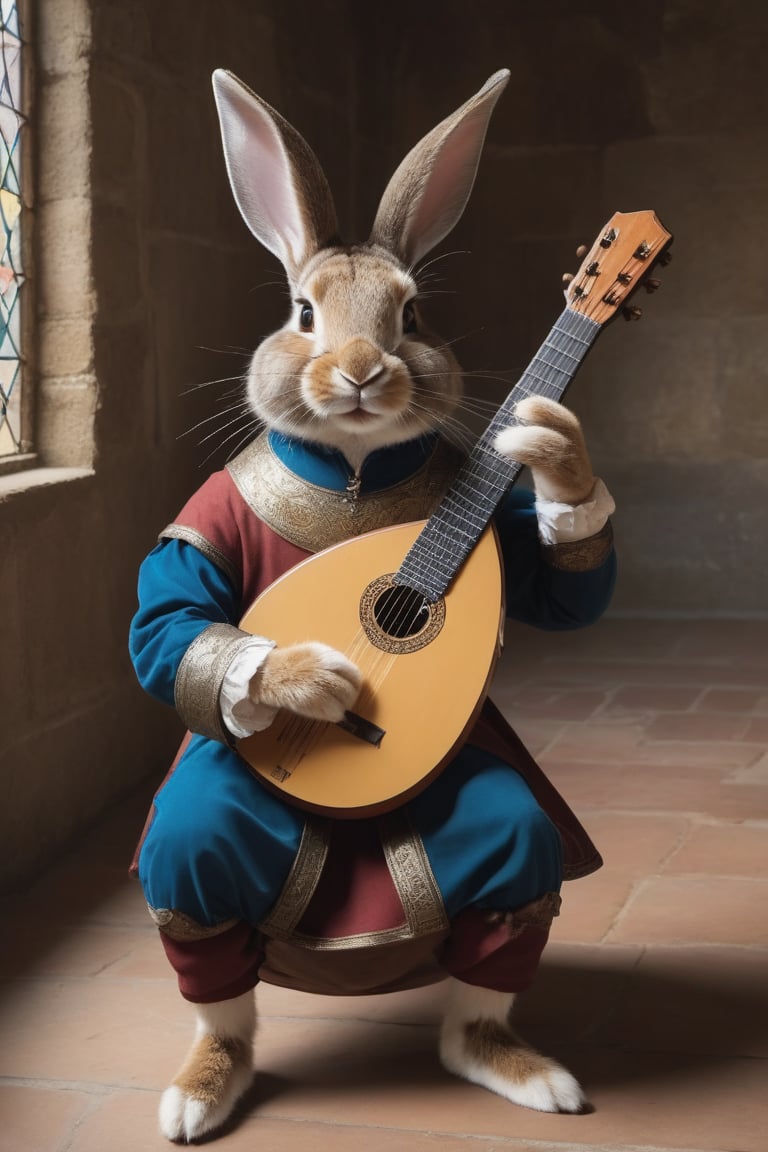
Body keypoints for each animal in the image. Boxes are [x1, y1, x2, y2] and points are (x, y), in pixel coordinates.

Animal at [127, 72, 617, 1142]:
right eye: (303, 312)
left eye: (415, 313)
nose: (360, 370)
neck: (353, 473)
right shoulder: (198, 525)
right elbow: (169, 634)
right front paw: (303, 677)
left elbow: (565, 591)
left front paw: (557, 453)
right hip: (205, 859)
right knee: (203, 916)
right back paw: (205, 1080)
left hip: (506, 843)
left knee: (512, 887)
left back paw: (506, 1059)